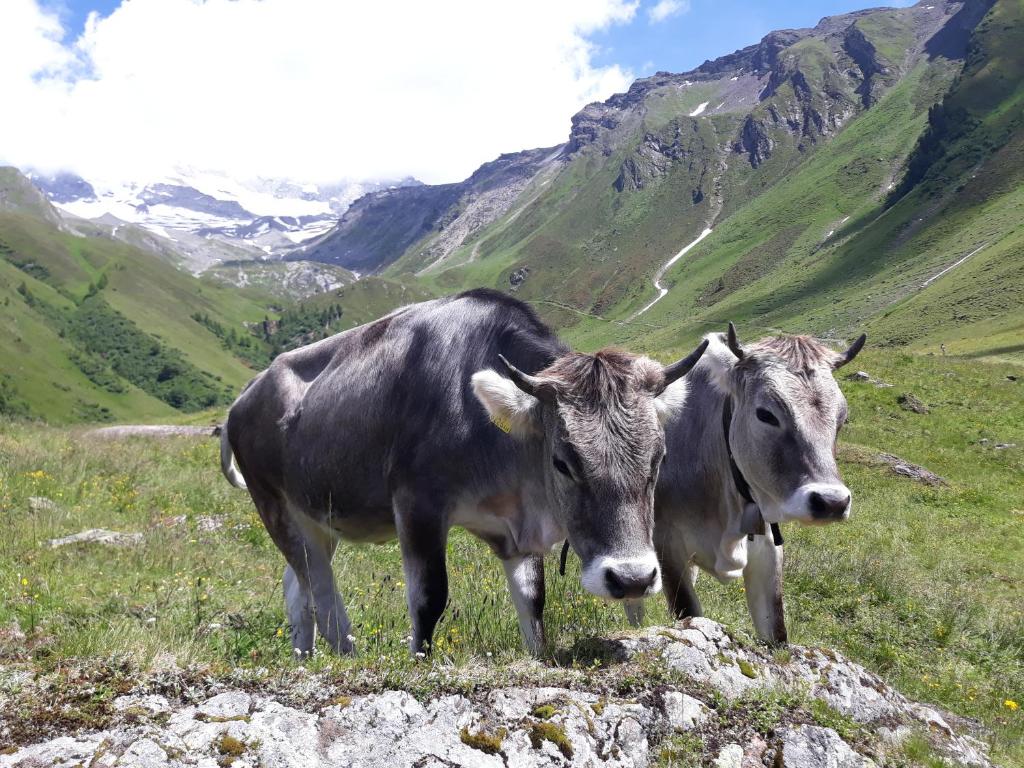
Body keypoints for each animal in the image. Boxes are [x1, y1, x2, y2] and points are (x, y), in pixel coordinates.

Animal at [220, 289, 708, 656]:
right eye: (562, 461)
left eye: (659, 458)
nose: (632, 579)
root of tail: (243, 397)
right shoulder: (417, 505)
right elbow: (428, 598)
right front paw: (419, 661)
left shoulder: (515, 530)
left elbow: (534, 602)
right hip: (273, 505)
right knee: (321, 594)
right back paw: (346, 657)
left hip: (316, 518)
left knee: (297, 585)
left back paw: (304, 658)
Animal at [626, 323, 865, 644]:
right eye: (765, 414)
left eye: (842, 417)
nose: (831, 502)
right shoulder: (667, 547)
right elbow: (688, 612)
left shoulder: (768, 549)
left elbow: (776, 630)